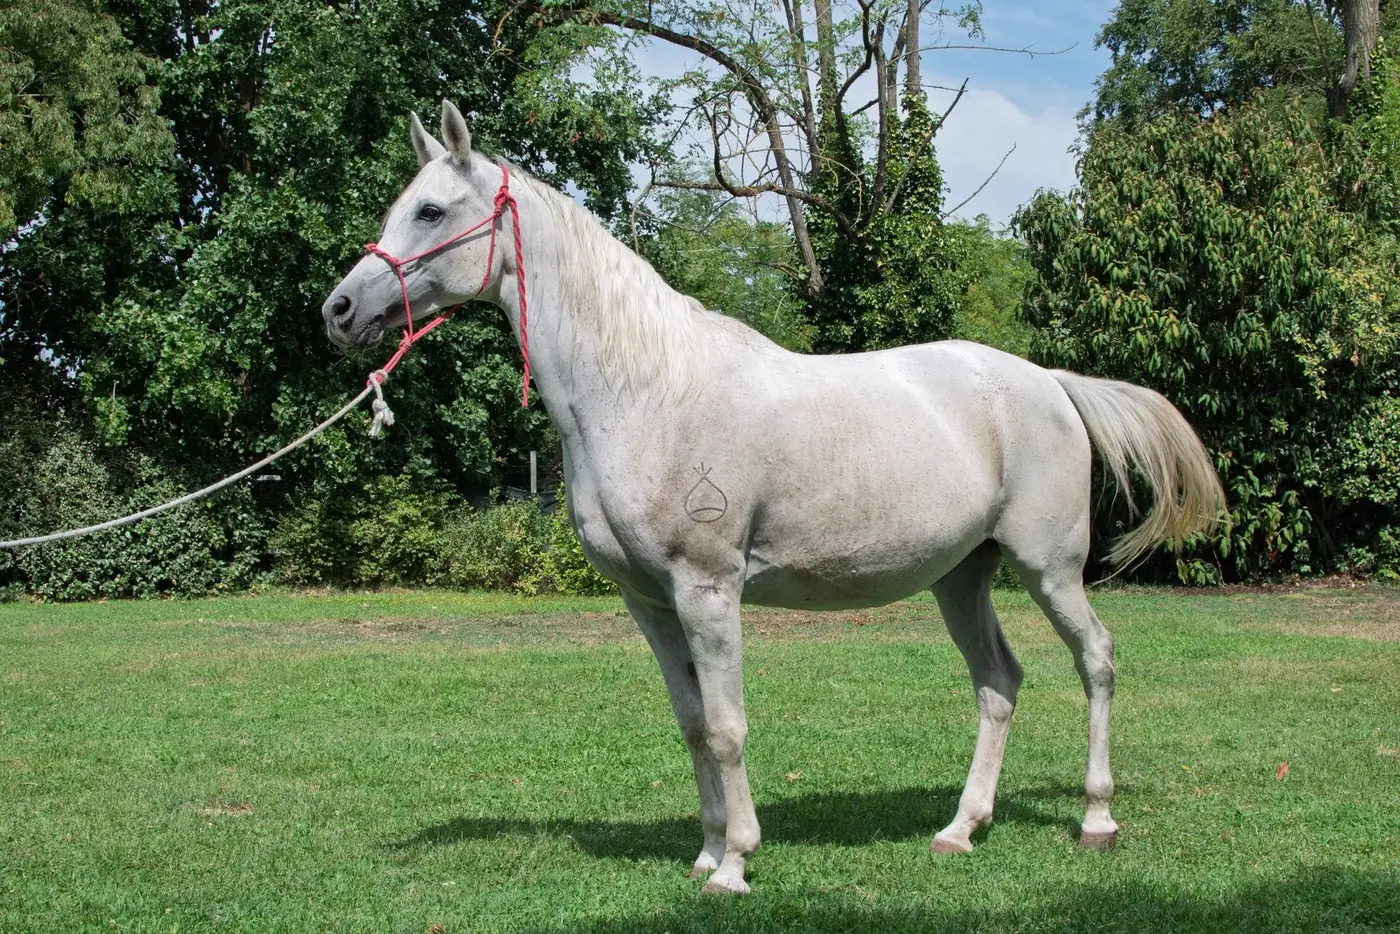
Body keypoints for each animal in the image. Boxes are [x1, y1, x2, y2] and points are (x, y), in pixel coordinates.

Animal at [322, 100, 1225, 895]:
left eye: (430, 210)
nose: (339, 309)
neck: (645, 390)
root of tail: (1049, 382)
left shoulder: (708, 590)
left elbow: (727, 729)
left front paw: (735, 863)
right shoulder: (651, 602)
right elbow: (693, 724)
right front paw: (704, 852)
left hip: (1049, 569)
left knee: (1095, 659)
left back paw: (1097, 819)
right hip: (963, 577)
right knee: (998, 683)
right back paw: (960, 829)